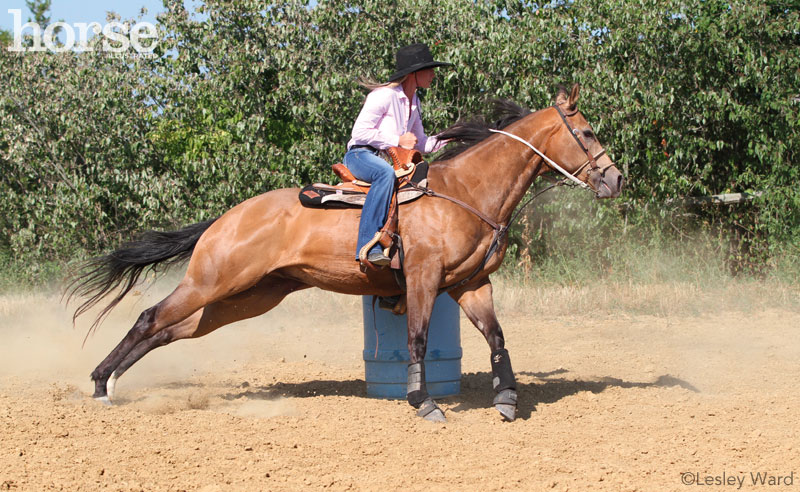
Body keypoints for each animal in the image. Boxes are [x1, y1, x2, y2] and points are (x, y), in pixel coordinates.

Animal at [67, 84, 624, 422]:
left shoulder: (470, 283)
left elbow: (497, 337)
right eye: (587, 132)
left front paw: (507, 400)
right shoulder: (424, 280)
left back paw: (112, 382)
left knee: (169, 329)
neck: (465, 191)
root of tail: (225, 218)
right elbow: (419, 339)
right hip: (212, 282)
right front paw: (424, 403)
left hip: (245, 297)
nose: (616, 179)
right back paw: (98, 385)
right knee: (149, 317)